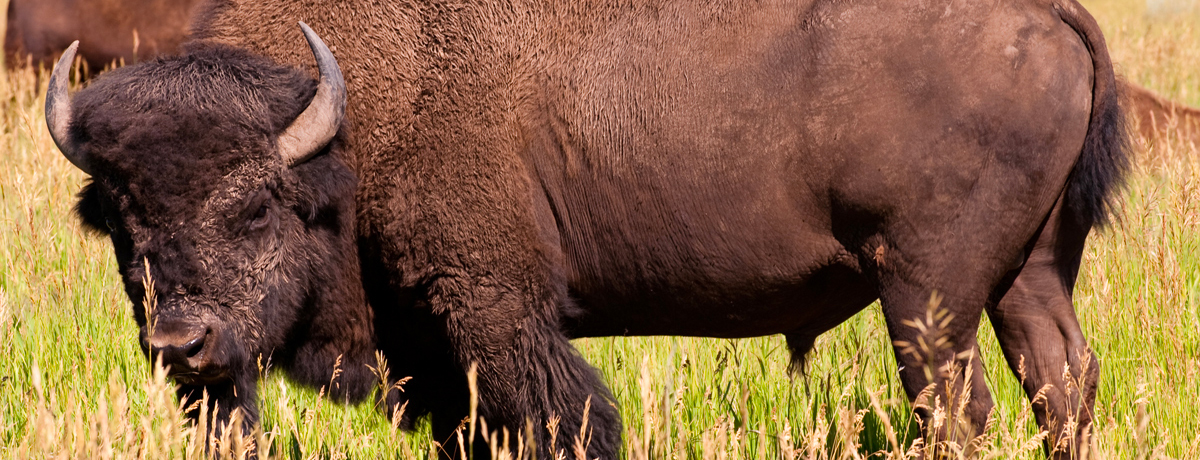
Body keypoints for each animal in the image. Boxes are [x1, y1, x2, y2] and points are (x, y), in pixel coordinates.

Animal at [46, 0, 1128, 458]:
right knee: (1061, 386)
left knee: (959, 406)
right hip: (1029, 279)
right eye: (121, 221)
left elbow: (565, 421)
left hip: (926, 295)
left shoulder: (497, 318)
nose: (182, 344)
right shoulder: (438, 360)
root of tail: (1048, 15)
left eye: (256, 201)